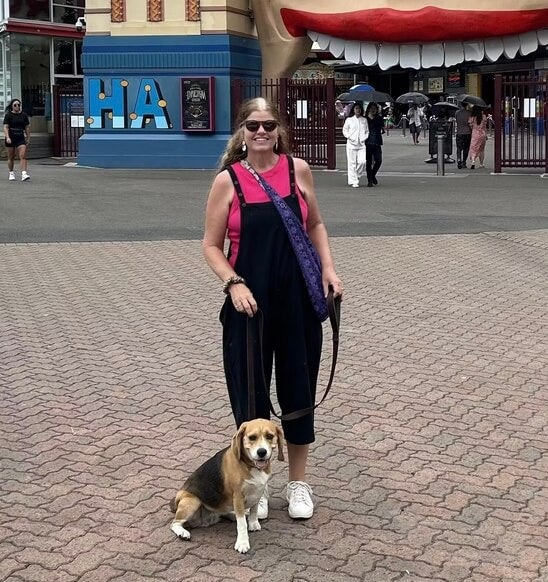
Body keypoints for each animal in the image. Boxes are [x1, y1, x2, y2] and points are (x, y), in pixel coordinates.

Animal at [169, 419, 284, 553]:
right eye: (252, 437)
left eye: (269, 436)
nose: (262, 452)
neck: (250, 465)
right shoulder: (238, 497)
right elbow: (241, 524)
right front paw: (242, 543)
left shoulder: (257, 492)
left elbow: (254, 510)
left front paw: (253, 523)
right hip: (192, 501)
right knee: (174, 523)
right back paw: (182, 532)